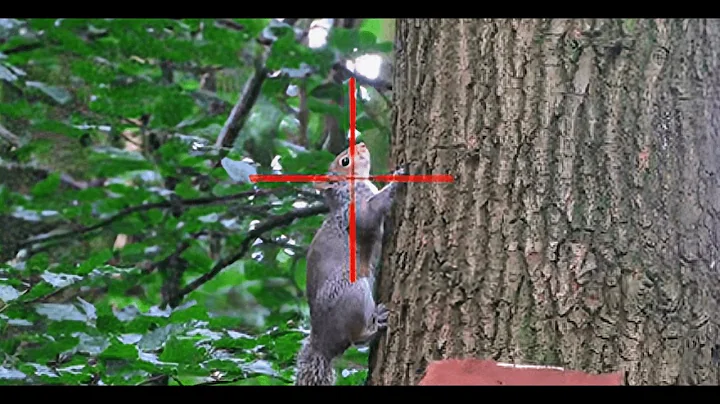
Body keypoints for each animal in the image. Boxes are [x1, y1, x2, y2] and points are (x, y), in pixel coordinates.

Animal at [295, 142, 406, 385]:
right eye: (345, 161)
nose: (362, 144)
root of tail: (324, 345)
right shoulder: (357, 214)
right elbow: (372, 212)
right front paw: (398, 178)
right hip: (353, 292)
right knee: (357, 337)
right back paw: (376, 323)